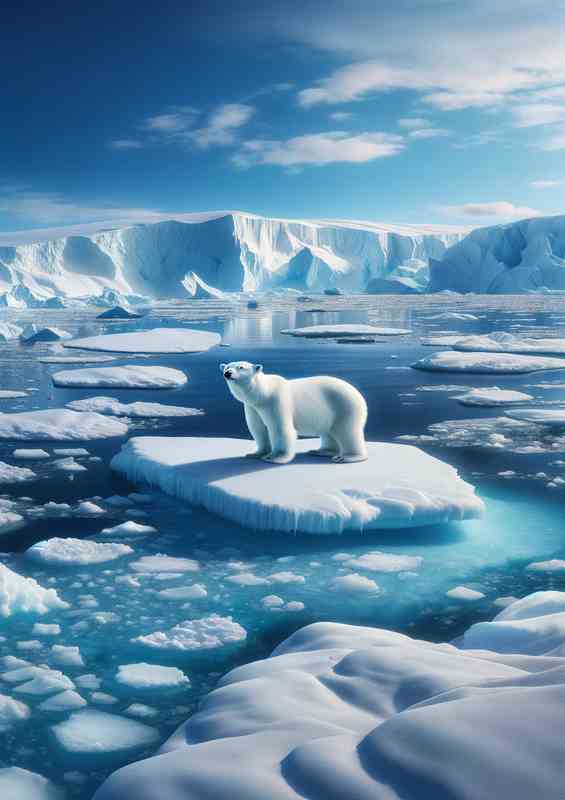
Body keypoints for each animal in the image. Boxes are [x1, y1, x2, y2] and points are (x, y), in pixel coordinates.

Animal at [220, 361, 368, 464]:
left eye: (241, 367)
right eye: (227, 366)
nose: (227, 373)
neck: (263, 394)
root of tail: (358, 393)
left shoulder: (276, 402)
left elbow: (280, 428)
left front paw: (275, 457)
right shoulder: (252, 408)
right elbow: (258, 430)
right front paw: (255, 454)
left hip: (344, 406)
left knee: (347, 432)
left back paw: (346, 457)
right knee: (328, 432)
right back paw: (320, 451)